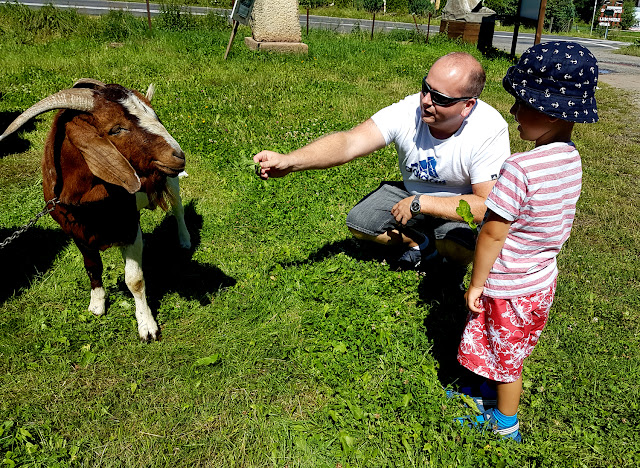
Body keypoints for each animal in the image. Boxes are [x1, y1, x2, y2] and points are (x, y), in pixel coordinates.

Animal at [0, 78, 190, 342]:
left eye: (155, 117)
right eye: (116, 128)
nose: (178, 155)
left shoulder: (130, 228)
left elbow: (135, 280)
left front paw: (147, 327)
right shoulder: (76, 232)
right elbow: (92, 267)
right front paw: (97, 305)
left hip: (171, 181)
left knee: (178, 207)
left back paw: (185, 240)